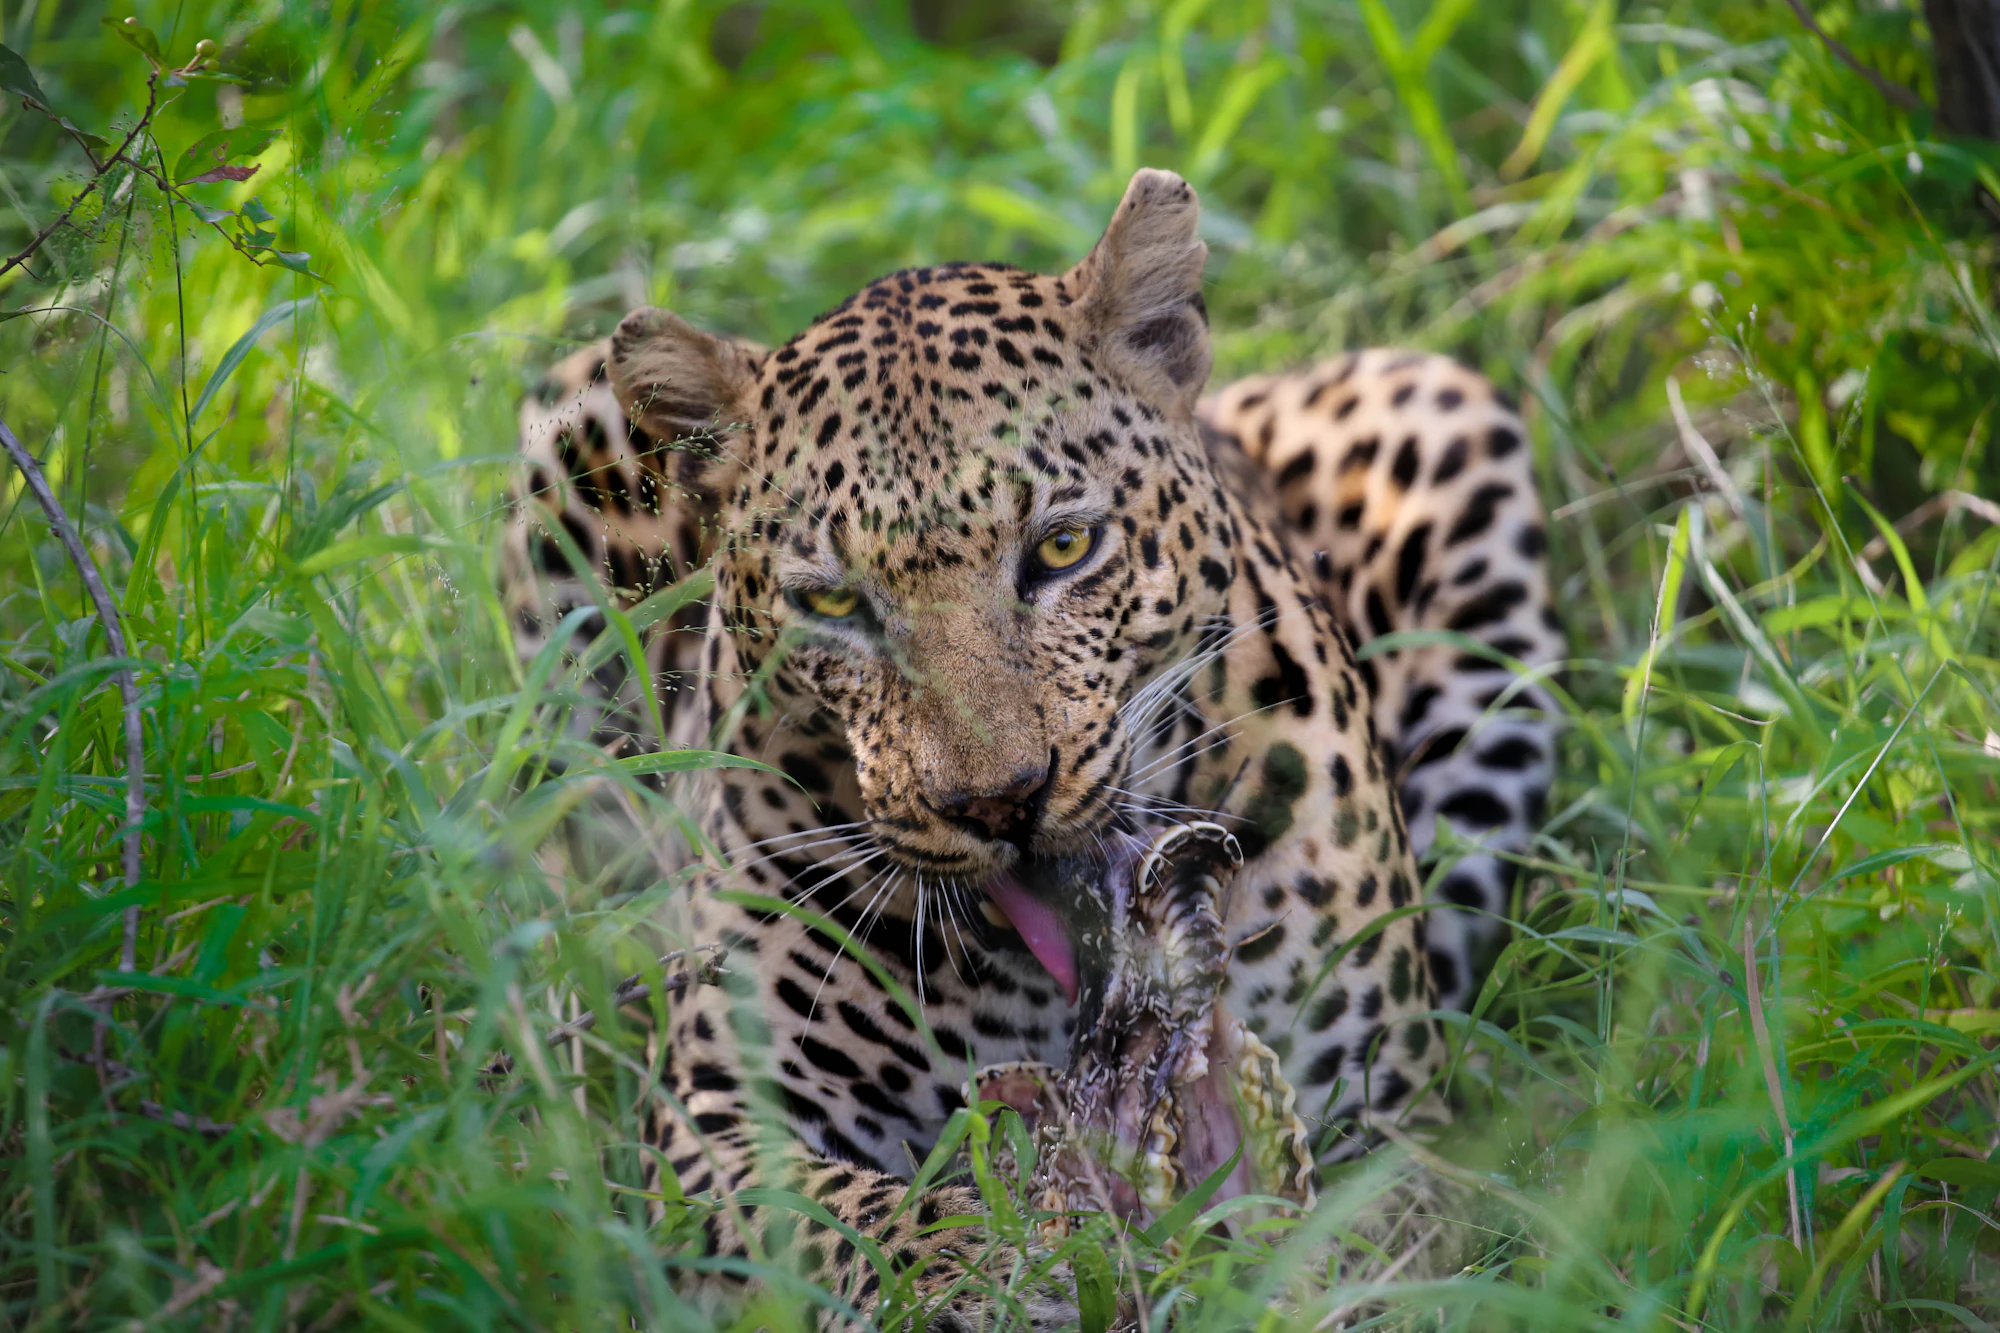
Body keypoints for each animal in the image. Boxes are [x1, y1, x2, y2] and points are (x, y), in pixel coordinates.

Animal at [500, 169, 1563, 1325]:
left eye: (1061, 547)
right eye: (832, 603)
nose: (1001, 802)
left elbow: (1359, 1254)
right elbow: (867, 1225)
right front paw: (1006, 1269)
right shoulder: (715, 1124)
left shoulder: (1380, 1120)